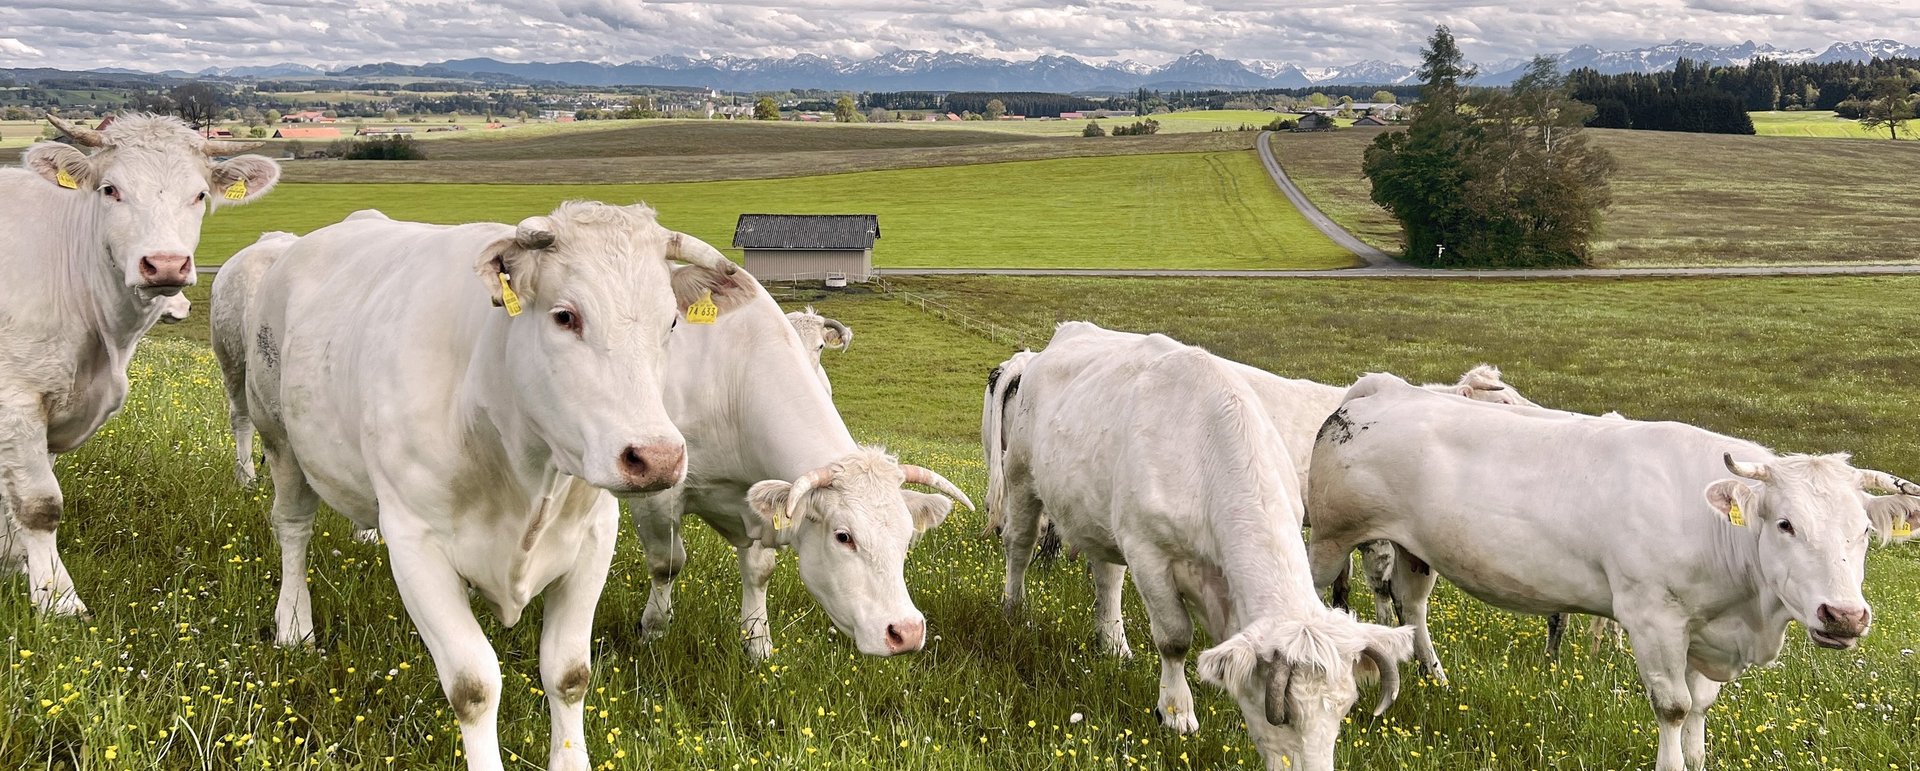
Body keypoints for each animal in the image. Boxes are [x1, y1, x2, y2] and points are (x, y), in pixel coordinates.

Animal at [0, 111, 280, 613]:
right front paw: (58, 601)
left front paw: (15, 564)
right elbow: (40, 503)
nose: (165, 264)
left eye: (200, 194)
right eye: (110, 189)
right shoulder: (16, 397)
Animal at [234, 201, 741, 767]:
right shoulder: (415, 544)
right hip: (279, 437)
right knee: (293, 529)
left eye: (671, 321)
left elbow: (569, 675)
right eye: (565, 316)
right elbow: (473, 685)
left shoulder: (594, 536)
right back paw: (293, 625)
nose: (657, 457)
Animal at [629, 270, 967, 655]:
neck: (728, 383)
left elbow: (759, 570)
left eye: (908, 535)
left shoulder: (758, 499)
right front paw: (654, 631)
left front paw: (757, 643)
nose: (906, 632)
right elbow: (666, 563)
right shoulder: (657, 497)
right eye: (843, 536)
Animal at [990, 326, 1413, 771]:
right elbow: (1174, 638)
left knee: (1107, 577)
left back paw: (1115, 645)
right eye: (1281, 713)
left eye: (1345, 707)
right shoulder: (1148, 552)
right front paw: (1177, 714)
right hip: (1020, 476)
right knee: (1019, 546)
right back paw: (1014, 611)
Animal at [1297, 375, 1912, 771]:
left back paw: (1437, 675)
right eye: (1785, 524)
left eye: (1863, 533)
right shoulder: (1651, 617)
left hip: (1415, 548)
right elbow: (1674, 707)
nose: (1845, 616)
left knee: (1413, 603)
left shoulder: (1707, 632)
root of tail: (1381, 389)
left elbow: (1700, 712)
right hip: (1329, 537)